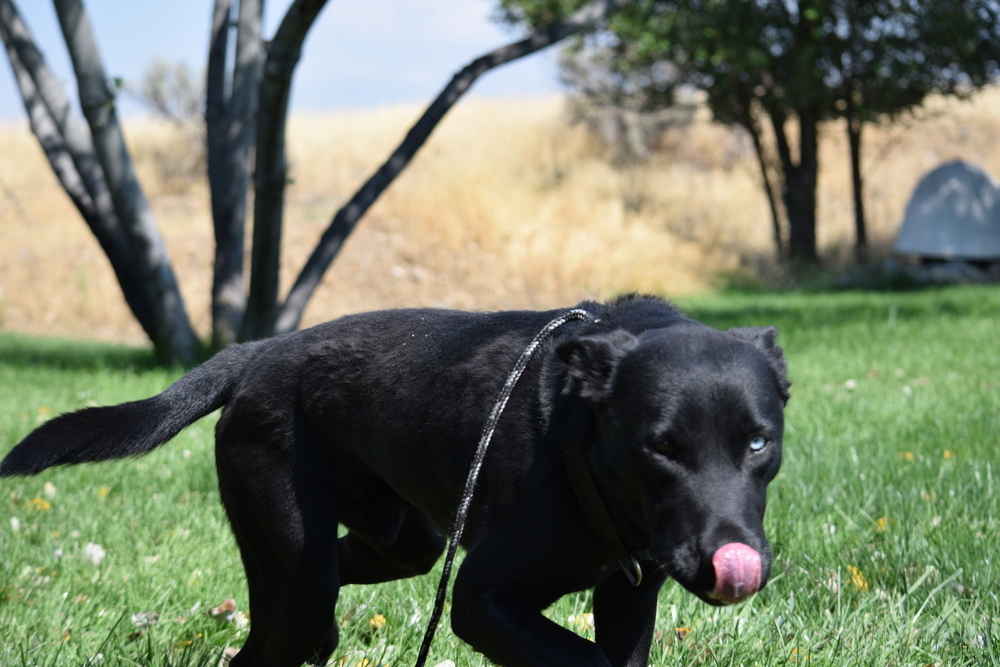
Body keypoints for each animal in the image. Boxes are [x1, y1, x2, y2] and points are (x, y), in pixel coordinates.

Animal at [3, 298, 792, 667]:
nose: (731, 562)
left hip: (400, 541)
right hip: (298, 555)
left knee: (324, 591)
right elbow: (580, 656)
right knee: (276, 630)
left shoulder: (628, 596)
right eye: (662, 447)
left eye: (758, 442)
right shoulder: (480, 600)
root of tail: (258, 352)